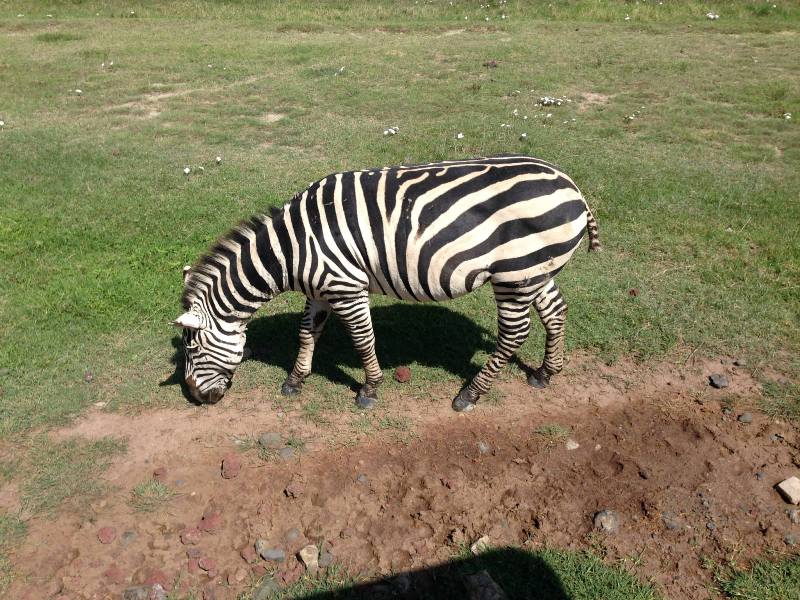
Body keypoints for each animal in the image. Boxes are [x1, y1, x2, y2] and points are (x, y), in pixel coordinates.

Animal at [175, 155, 600, 412]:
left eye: (193, 349)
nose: (195, 398)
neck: (292, 247)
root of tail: (573, 187)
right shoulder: (320, 289)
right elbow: (307, 333)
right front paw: (296, 380)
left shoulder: (346, 286)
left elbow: (363, 339)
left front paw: (370, 389)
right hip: (535, 270)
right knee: (555, 311)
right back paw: (545, 373)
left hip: (515, 274)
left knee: (514, 334)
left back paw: (470, 394)